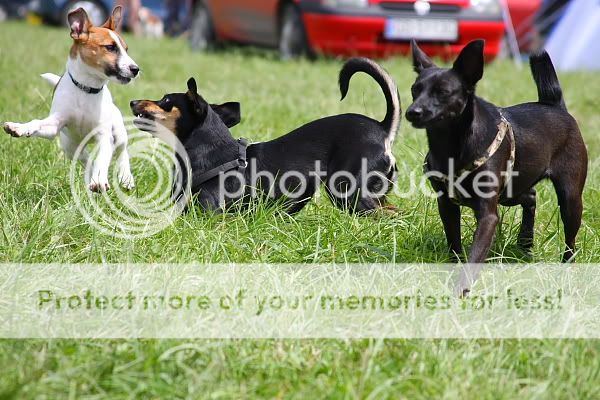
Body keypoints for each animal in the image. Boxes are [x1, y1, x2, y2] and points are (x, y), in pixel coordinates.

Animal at [3, 6, 139, 192]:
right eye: (110, 47)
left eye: (126, 49)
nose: (136, 69)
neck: (86, 89)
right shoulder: (54, 125)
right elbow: (37, 122)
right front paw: (19, 127)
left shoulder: (104, 135)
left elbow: (103, 159)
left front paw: (99, 180)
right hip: (70, 146)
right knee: (87, 159)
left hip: (118, 131)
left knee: (121, 151)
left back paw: (125, 178)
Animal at [406, 40, 587, 283]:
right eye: (414, 90)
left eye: (443, 92)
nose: (412, 112)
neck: (451, 144)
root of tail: (555, 105)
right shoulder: (446, 205)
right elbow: (454, 243)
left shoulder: (488, 216)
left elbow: (475, 256)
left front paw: (461, 288)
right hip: (511, 192)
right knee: (531, 196)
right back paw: (525, 242)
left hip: (569, 198)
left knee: (570, 239)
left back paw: (565, 266)